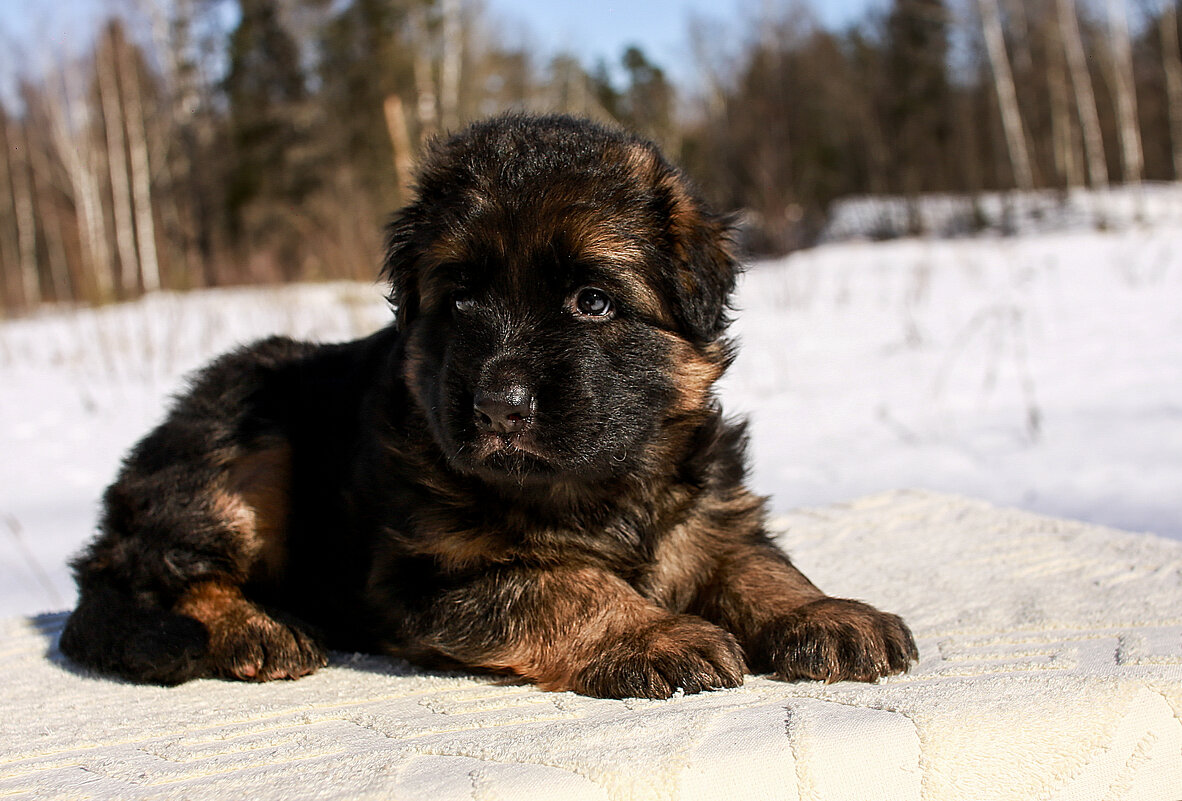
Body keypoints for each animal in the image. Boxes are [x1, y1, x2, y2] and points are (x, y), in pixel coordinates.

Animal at [59, 116, 917, 699]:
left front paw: (827, 613)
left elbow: (757, 562)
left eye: (592, 300)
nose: (499, 405)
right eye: (462, 298)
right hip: (251, 444)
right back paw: (258, 627)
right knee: (154, 573)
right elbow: (559, 582)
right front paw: (652, 631)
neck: (597, 486)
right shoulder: (427, 576)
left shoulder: (705, 507)